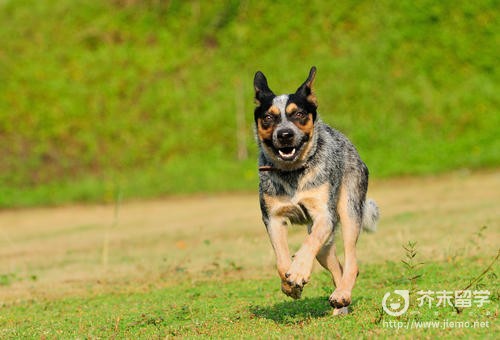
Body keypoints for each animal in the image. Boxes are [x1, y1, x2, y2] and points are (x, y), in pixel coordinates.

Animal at [254, 65, 378, 314]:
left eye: (299, 114)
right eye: (269, 117)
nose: (285, 134)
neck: (292, 173)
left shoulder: (324, 215)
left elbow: (307, 245)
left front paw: (298, 271)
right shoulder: (272, 217)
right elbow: (281, 259)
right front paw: (290, 286)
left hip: (349, 209)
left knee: (351, 261)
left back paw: (342, 294)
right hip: (325, 246)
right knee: (336, 266)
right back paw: (340, 305)